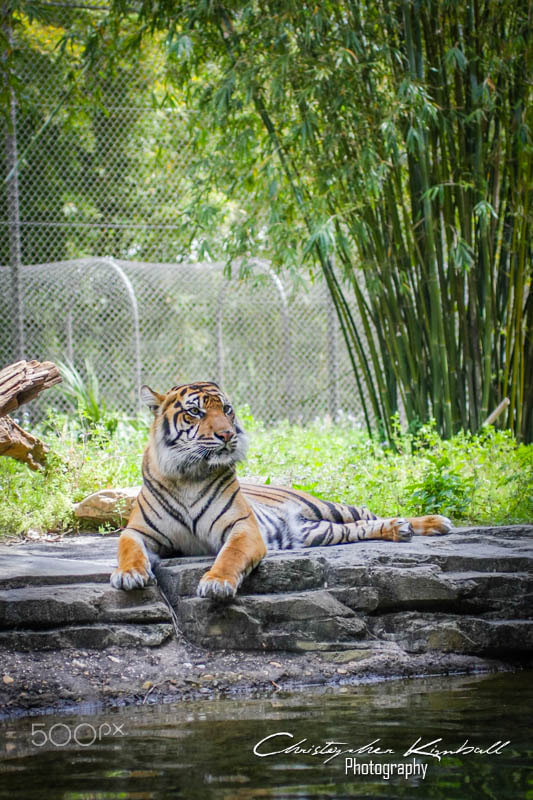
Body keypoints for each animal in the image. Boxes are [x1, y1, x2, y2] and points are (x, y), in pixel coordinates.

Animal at [110, 382, 450, 600]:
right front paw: (128, 575)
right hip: (317, 532)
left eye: (227, 409)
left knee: (368, 513)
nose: (227, 435)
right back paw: (399, 529)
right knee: (360, 526)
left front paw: (217, 583)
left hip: (327, 507)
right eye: (195, 413)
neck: (188, 476)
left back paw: (432, 523)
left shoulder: (243, 527)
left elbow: (230, 555)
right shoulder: (139, 531)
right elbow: (127, 549)